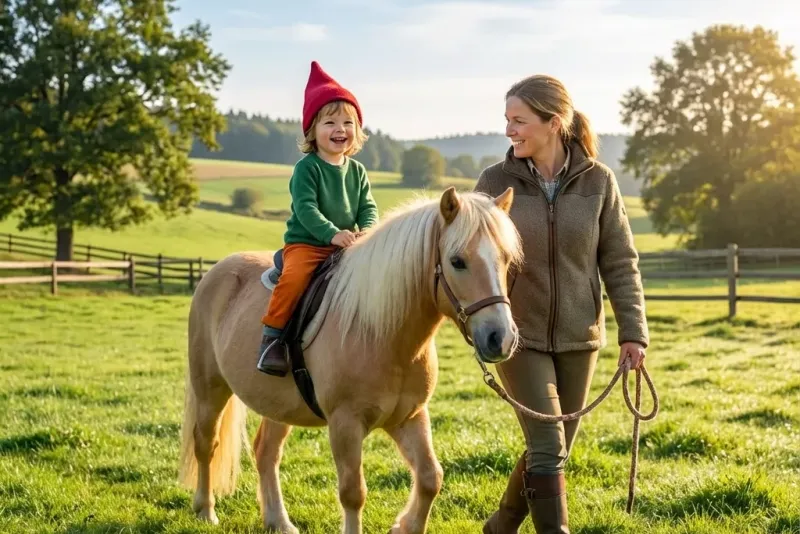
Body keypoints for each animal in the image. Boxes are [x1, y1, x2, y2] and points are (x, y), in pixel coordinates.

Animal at [177, 187, 522, 534]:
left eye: (506, 260)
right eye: (457, 261)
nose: (501, 338)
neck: (382, 334)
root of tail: (215, 272)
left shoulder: (409, 416)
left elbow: (430, 478)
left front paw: (404, 525)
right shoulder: (346, 424)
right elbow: (353, 493)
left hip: (277, 405)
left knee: (266, 452)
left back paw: (279, 521)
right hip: (210, 388)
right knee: (205, 443)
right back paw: (206, 510)